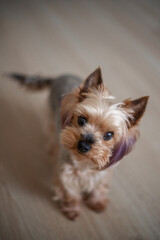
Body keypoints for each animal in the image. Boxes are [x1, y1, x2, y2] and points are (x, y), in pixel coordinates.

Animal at [9, 68, 149, 219]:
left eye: (109, 135)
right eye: (81, 120)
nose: (83, 145)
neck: (85, 163)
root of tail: (58, 77)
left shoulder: (102, 172)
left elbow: (99, 186)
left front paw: (97, 202)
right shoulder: (66, 173)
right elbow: (70, 192)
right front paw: (72, 210)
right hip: (51, 114)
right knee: (51, 132)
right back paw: (53, 149)